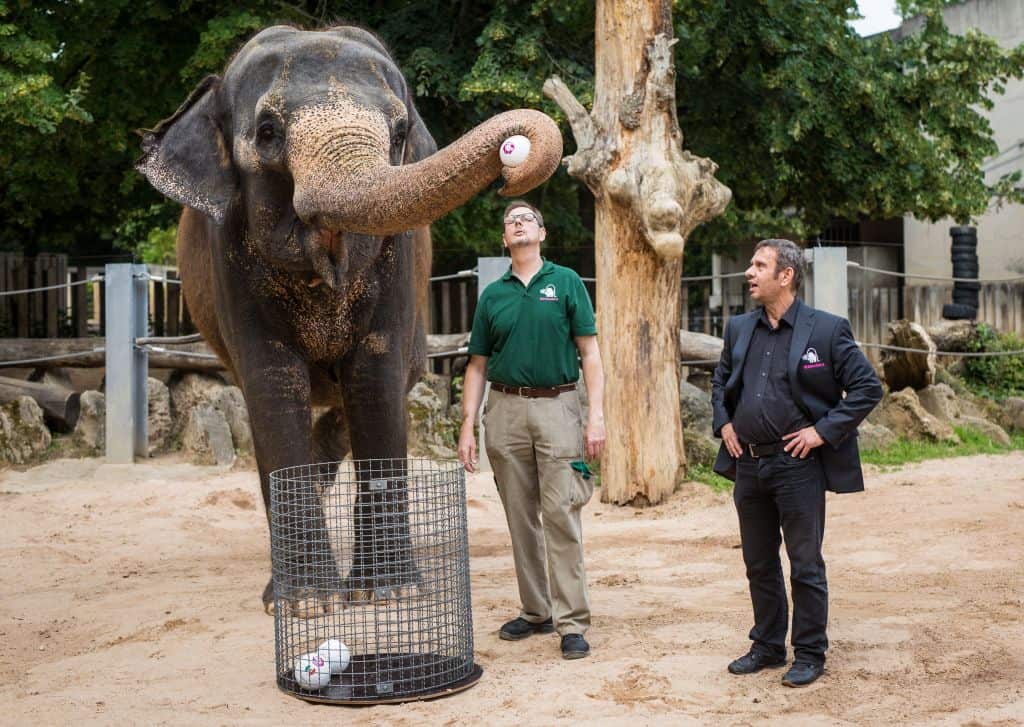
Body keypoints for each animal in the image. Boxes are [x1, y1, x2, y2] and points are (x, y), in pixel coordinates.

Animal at [136, 25, 562, 615]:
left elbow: (375, 378)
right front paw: (308, 605)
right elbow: (271, 383)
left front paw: (389, 594)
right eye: (267, 132)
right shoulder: (231, 261)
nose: (509, 167)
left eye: (400, 130)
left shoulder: (397, 262)